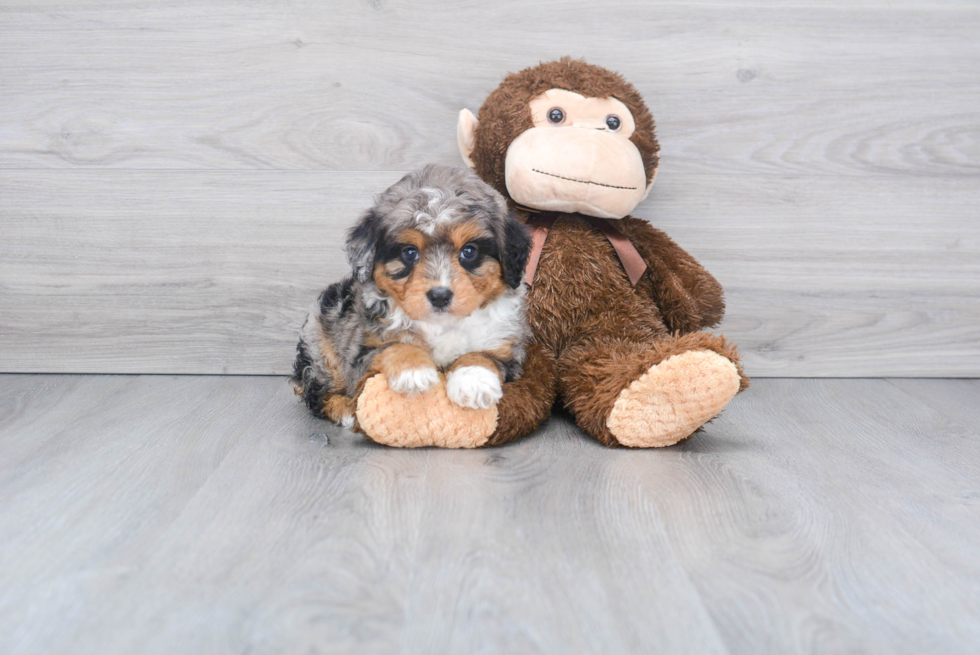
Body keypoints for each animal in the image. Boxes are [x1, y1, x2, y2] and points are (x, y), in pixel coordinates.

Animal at [290, 167, 532, 428]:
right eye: (409, 252)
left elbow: (483, 355)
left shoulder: (507, 349)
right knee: (315, 393)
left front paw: (473, 380)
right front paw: (414, 372)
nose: (439, 296)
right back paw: (343, 409)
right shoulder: (362, 352)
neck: (442, 323)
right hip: (322, 351)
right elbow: (393, 346)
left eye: (469, 251)